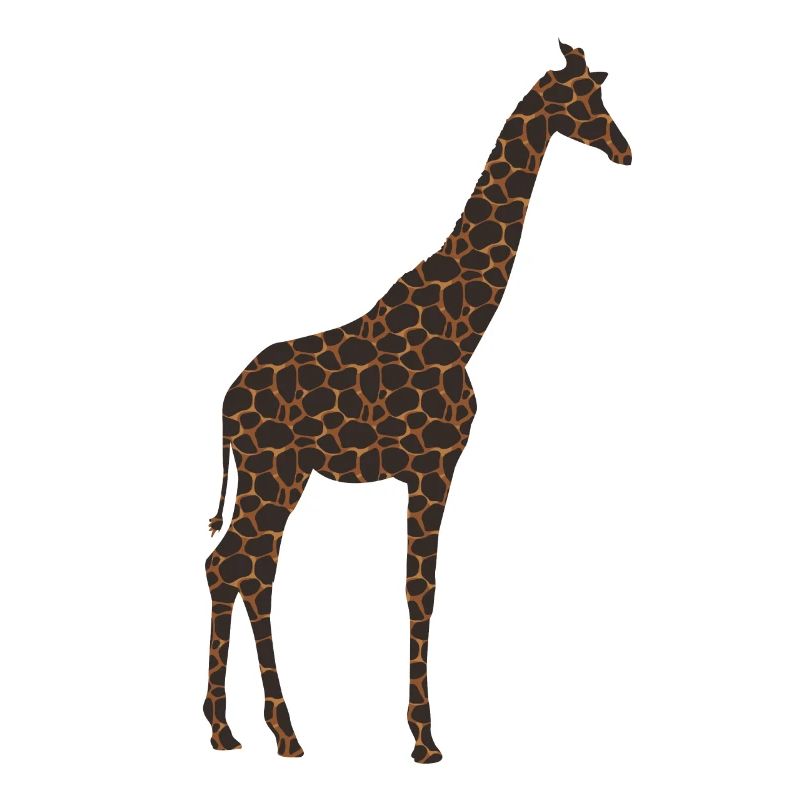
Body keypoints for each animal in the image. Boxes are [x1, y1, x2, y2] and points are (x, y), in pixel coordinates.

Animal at [204, 40, 632, 763]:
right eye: (586, 102)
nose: (624, 149)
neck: (465, 327)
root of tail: (225, 404)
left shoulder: (427, 468)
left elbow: (417, 590)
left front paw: (419, 732)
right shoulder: (435, 464)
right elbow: (420, 592)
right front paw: (426, 739)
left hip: (284, 475)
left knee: (244, 567)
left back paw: (249, 730)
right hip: (272, 471)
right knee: (238, 565)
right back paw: (257, 728)